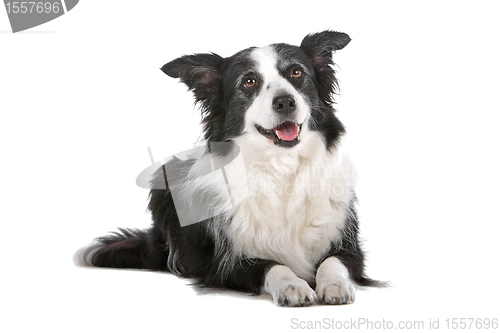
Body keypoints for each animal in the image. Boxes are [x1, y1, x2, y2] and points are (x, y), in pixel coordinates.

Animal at [74, 31, 380, 306]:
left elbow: (334, 261)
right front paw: (292, 285)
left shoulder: (350, 247)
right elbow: (271, 265)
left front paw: (335, 284)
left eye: (296, 73)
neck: (280, 166)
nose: (285, 102)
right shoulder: (224, 264)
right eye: (249, 81)